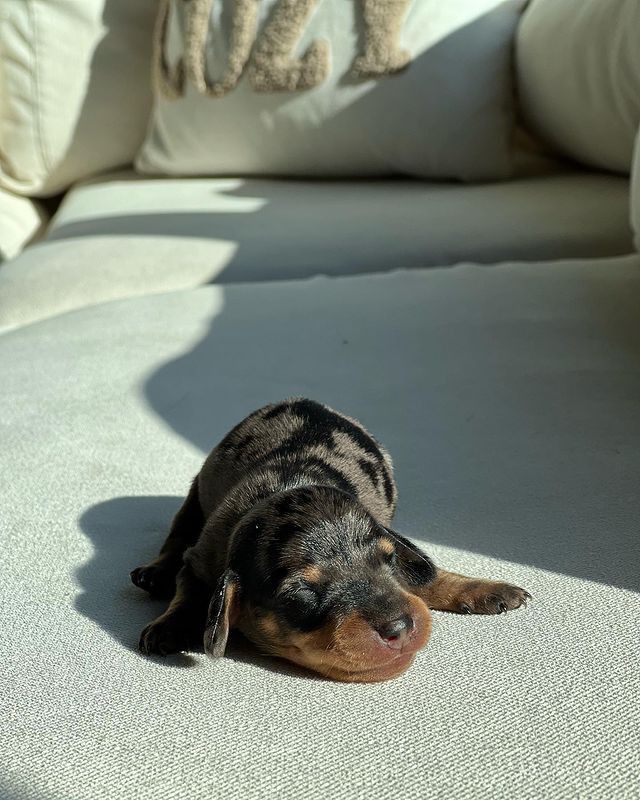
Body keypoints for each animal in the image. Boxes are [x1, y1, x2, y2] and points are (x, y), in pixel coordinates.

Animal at [131, 400, 528, 680]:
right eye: (302, 593)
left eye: (389, 560)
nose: (400, 628)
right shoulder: (200, 560)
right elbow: (188, 590)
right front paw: (169, 626)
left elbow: (426, 574)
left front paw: (486, 589)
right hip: (195, 495)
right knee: (176, 537)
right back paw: (153, 572)